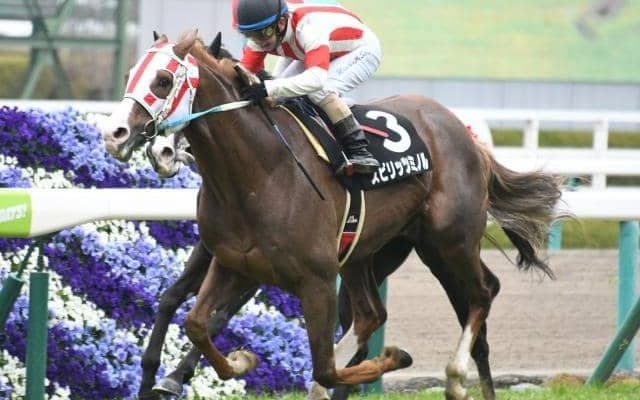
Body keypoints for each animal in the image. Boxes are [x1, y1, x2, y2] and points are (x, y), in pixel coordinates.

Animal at [102, 30, 564, 400]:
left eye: (163, 80)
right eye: (128, 74)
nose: (114, 133)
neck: (261, 172)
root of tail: (464, 133)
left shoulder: (315, 279)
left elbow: (322, 364)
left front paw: (392, 358)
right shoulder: (232, 262)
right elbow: (195, 319)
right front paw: (229, 363)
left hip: (448, 241)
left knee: (482, 293)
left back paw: (455, 378)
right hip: (369, 253)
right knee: (372, 314)